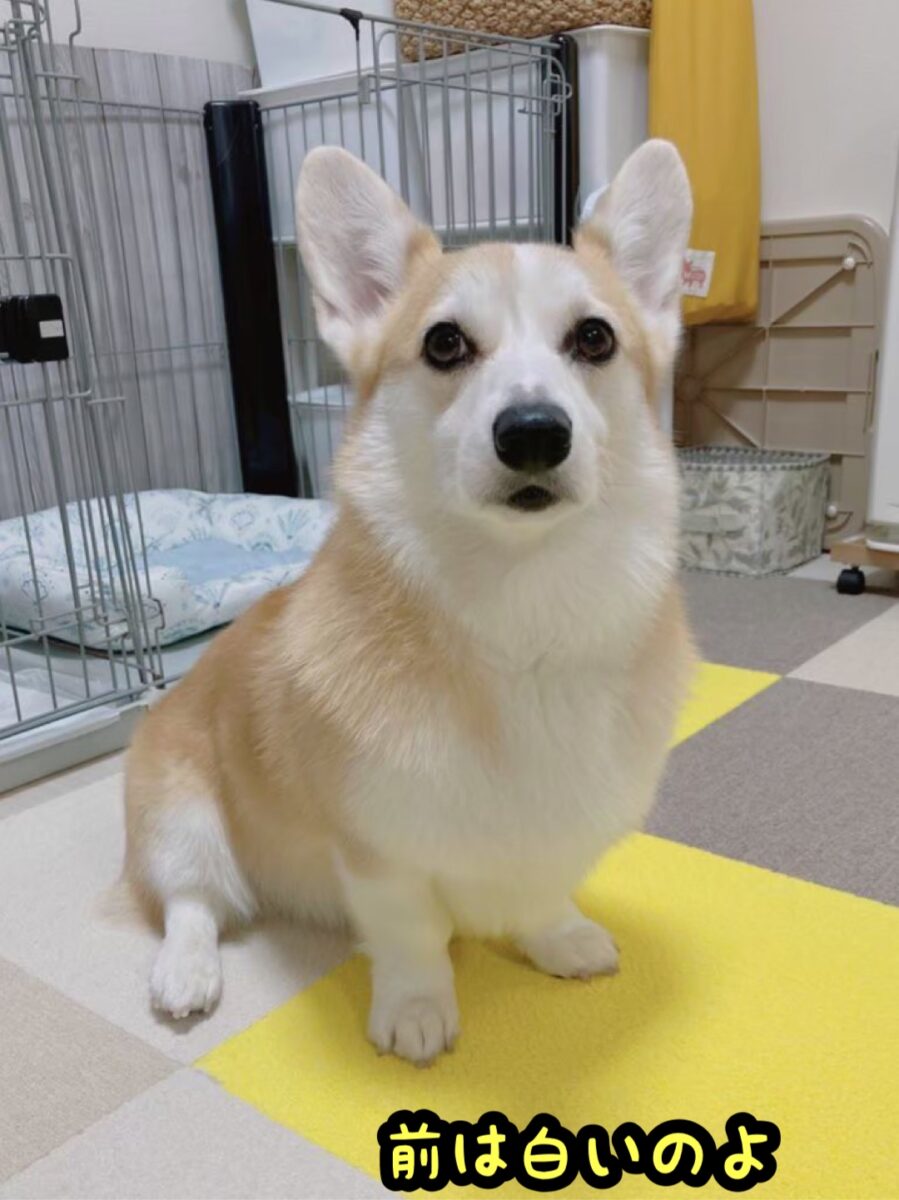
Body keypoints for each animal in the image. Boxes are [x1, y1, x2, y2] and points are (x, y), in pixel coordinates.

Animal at [123, 139, 695, 1065]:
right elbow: (410, 934)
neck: (521, 603)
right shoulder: (377, 852)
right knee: (193, 902)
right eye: (445, 343)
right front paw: (419, 1011)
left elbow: (542, 890)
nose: (533, 432)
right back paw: (187, 973)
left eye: (595, 337)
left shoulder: (561, 823)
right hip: (179, 815)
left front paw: (559, 938)